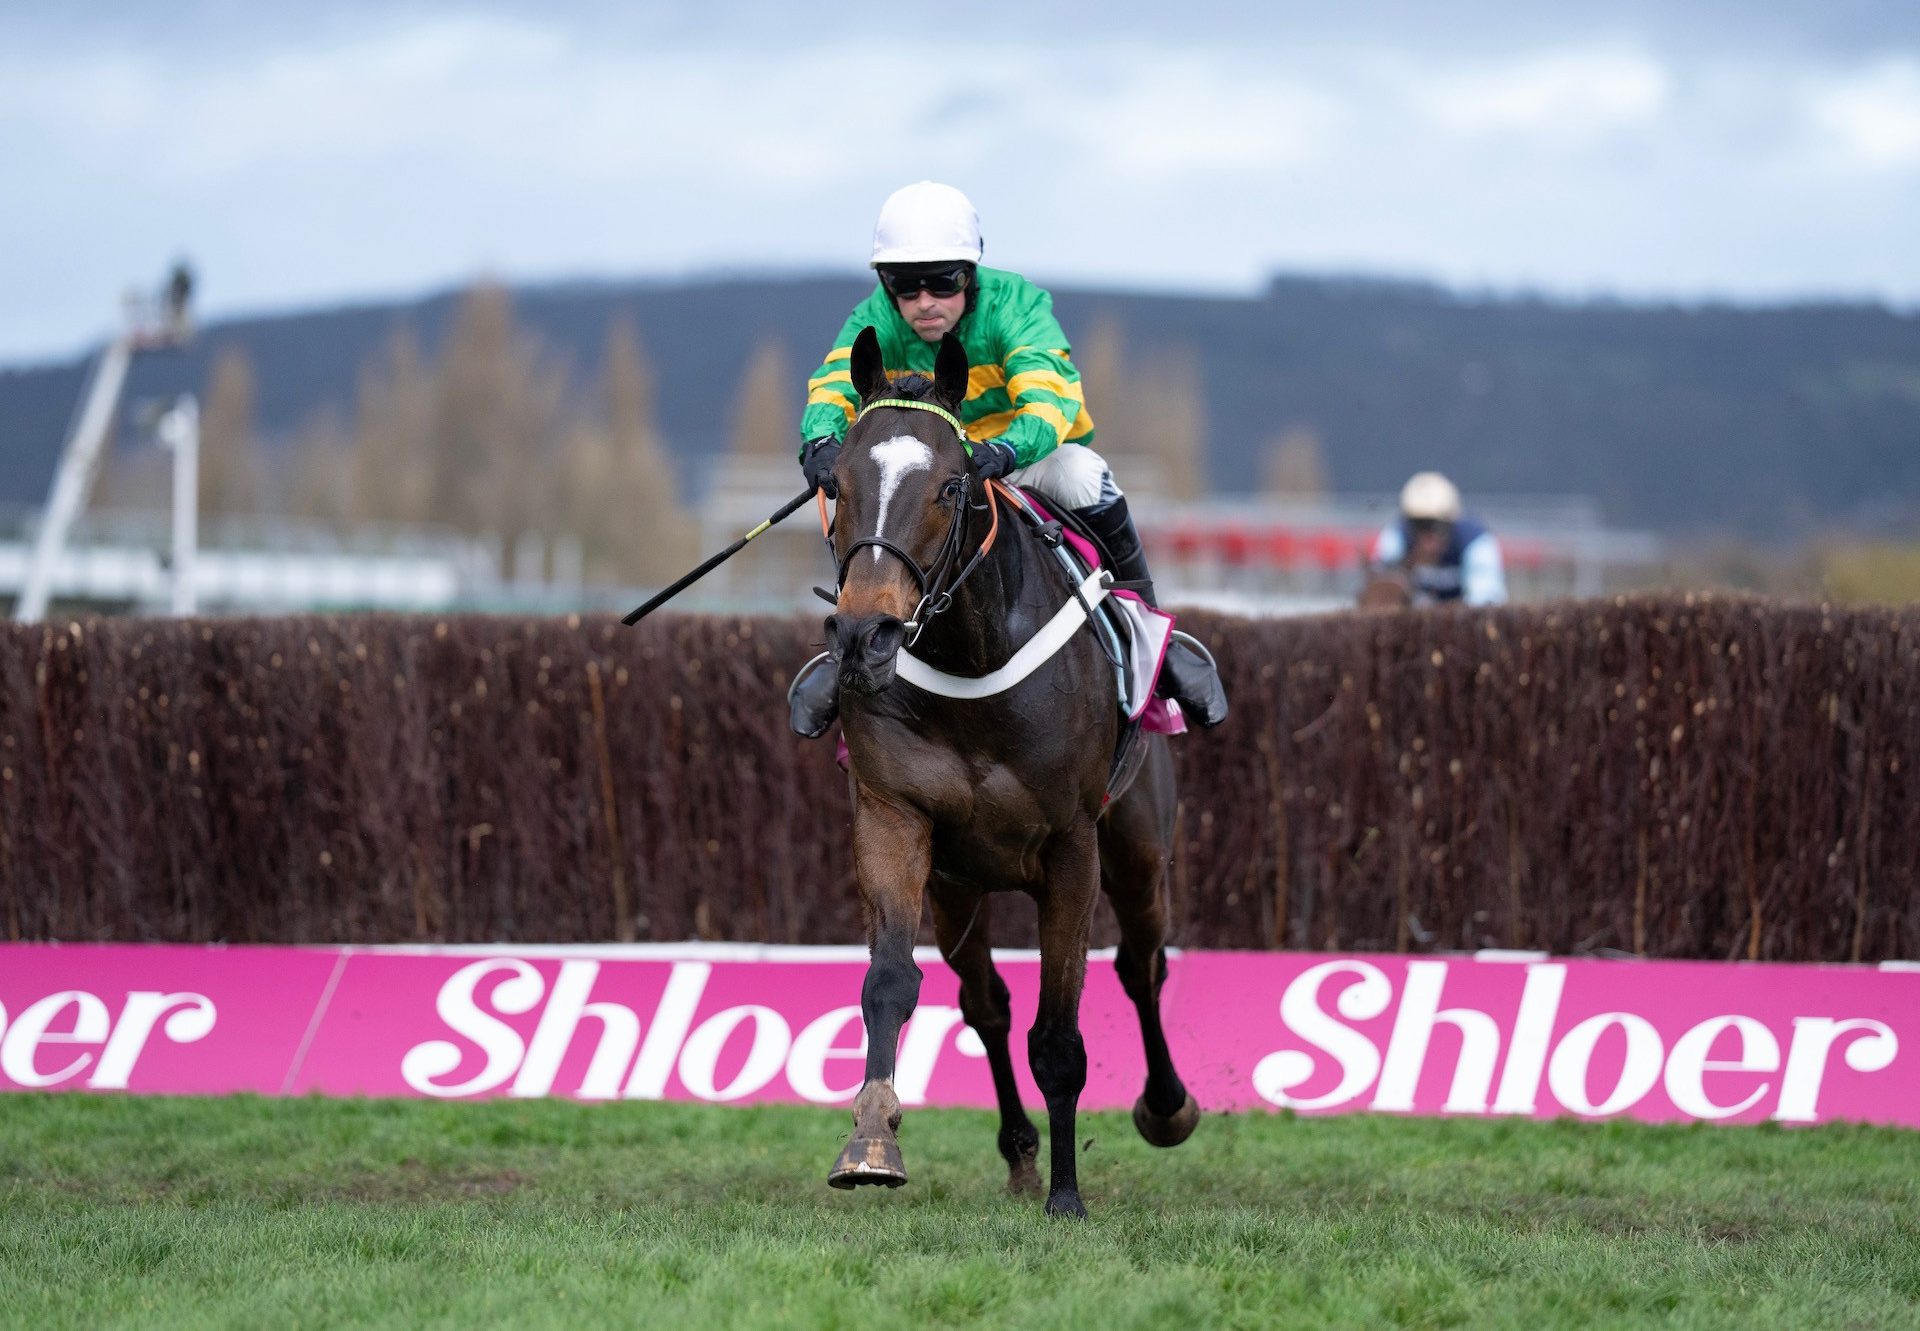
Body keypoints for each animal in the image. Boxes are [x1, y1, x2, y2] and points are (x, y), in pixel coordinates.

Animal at [821, 324, 1198, 1213]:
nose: (863, 638)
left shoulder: (1071, 847)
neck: (973, 658)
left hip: (1137, 845)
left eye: (950, 486)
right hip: (961, 883)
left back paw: (1165, 1106)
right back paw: (1020, 1151)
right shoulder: (893, 816)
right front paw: (870, 1141)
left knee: (1142, 963)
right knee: (985, 1002)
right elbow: (891, 982)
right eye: (838, 482)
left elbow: (1059, 1034)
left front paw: (1068, 1196)